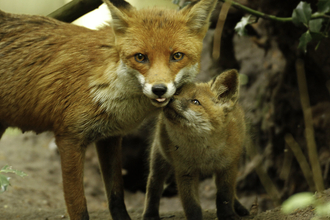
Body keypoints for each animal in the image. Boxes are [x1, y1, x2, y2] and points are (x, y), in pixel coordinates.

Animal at [0, 0, 217, 220]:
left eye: (177, 56)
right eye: (140, 57)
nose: (159, 89)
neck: (102, 83)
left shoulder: (109, 137)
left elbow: (116, 195)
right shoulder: (69, 138)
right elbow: (78, 205)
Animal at [143, 70, 249, 220]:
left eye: (195, 101)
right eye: (177, 93)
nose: (170, 99)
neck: (203, 153)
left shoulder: (228, 167)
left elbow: (225, 196)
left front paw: (228, 215)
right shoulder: (185, 172)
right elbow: (191, 205)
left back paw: (239, 207)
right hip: (160, 159)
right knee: (153, 185)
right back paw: (150, 215)